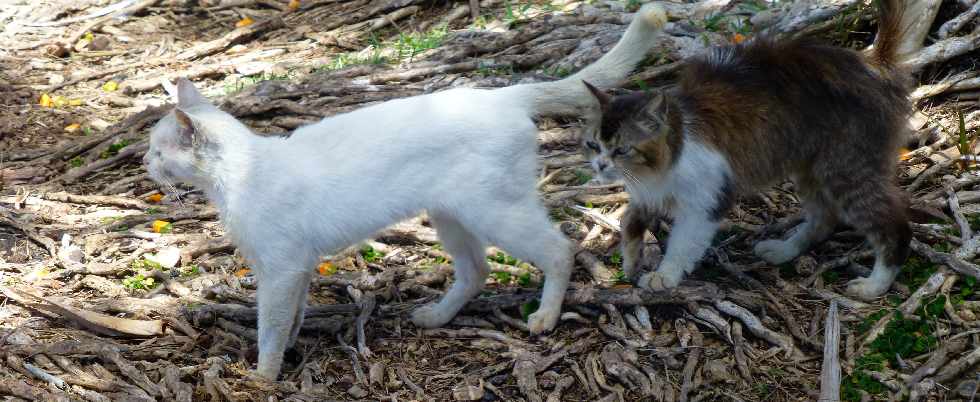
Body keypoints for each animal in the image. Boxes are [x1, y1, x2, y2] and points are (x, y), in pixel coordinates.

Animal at [144, 3, 668, 380]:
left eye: (156, 150)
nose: (144, 163)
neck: (242, 175)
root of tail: (501, 94)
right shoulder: (297, 268)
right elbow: (292, 318)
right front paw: (289, 351)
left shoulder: (281, 269)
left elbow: (270, 328)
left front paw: (262, 377)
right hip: (451, 217)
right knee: (476, 272)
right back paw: (435, 317)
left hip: (495, 213)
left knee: (560, 248)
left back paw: (544, 316)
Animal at [580, 0, 912, 300]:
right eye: (594, 144)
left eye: (622, 150)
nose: (600, 165)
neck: (661, 166)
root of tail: (872, 63)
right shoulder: (649, 193)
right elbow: (629, 222)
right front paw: (631, 260)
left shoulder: (707, 201)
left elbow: (682, 243)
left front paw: (665, 275)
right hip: (810, 169)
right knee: (824, 218)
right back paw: (784, 249)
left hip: (847, 170)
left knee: (893, 227)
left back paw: (874, 285)